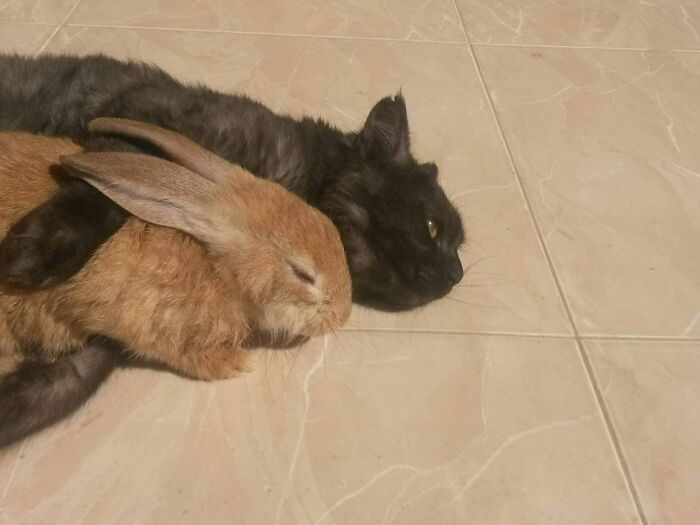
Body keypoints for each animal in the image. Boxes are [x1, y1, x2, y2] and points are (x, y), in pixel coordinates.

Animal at [0, 118, 351, 446]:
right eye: (302, 274)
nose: (342, 315)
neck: (213, 266)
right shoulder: (146, 322)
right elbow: (181, 353)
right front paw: (233, 362)